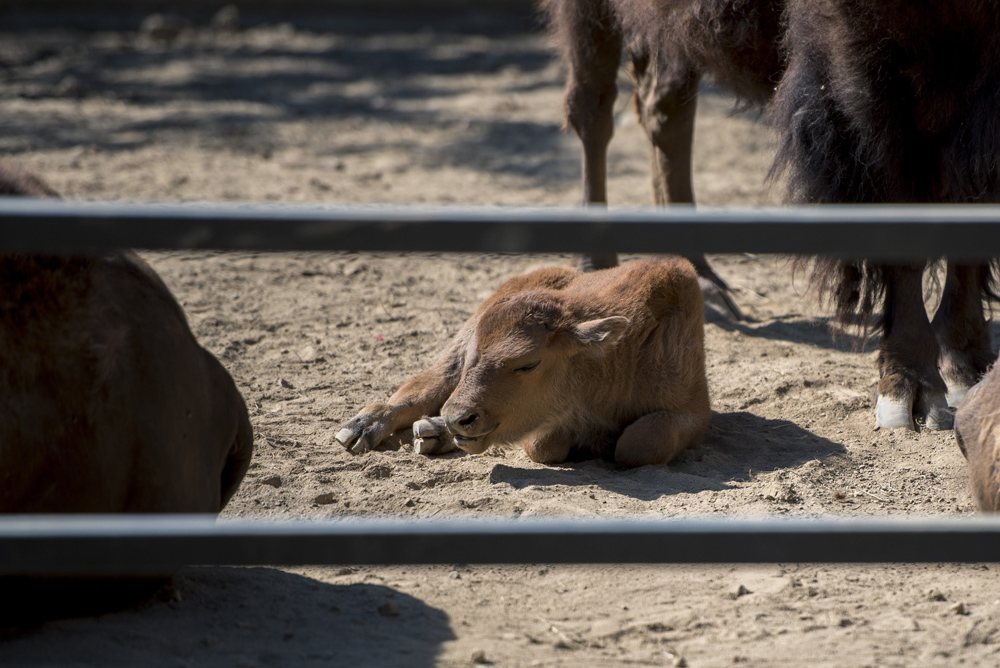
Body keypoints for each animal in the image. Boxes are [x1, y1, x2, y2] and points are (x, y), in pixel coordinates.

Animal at [338, 258, 712, 470]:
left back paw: (431, 433)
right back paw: (361, 429)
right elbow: (541, 444)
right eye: (476, 355)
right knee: (425, 386)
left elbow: (639, 443)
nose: (460, 418)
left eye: (528, 364)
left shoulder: (693, 412)